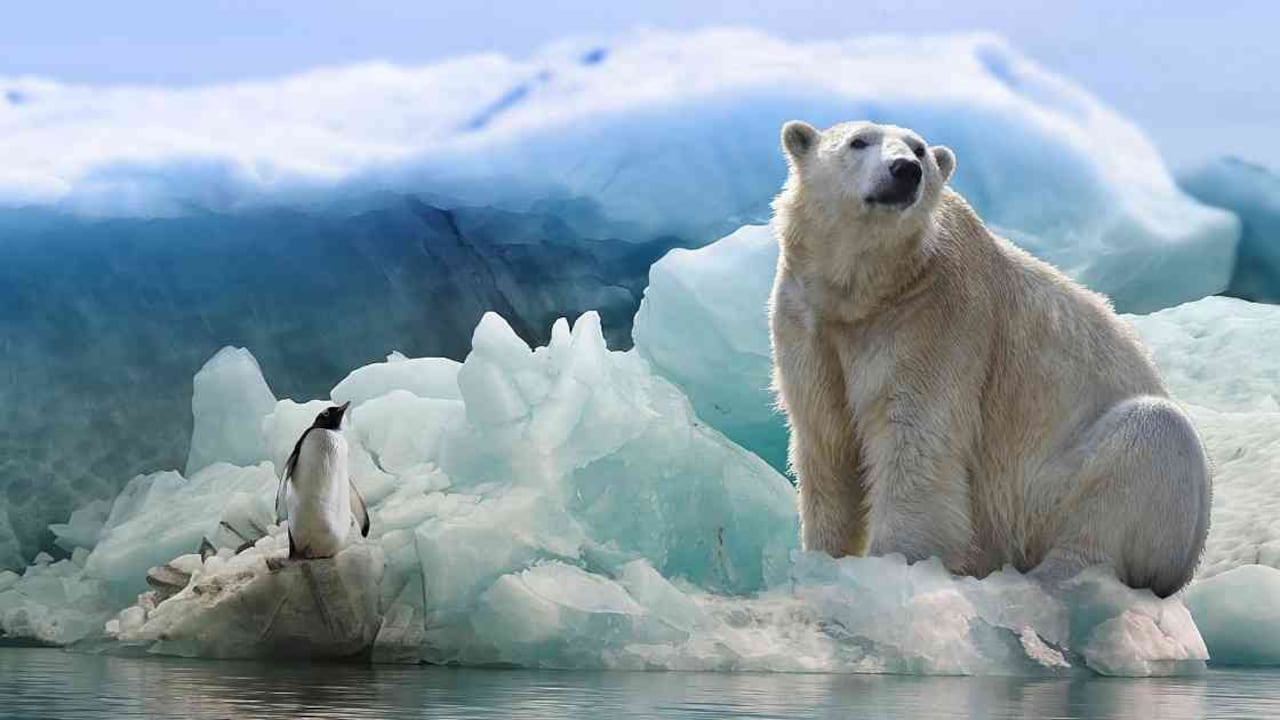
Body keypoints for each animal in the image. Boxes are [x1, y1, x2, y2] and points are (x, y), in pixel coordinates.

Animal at [768, 120, 1211, 598]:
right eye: (858, 142)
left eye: (919, 150)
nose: (905, 170)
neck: (868, 292)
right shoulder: (808, 322)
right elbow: (827, 441)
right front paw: (823, 560)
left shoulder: (935, 318)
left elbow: (915, 442)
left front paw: (895, 566)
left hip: (1061, 487)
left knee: (1146, 443)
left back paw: (1055, 578)